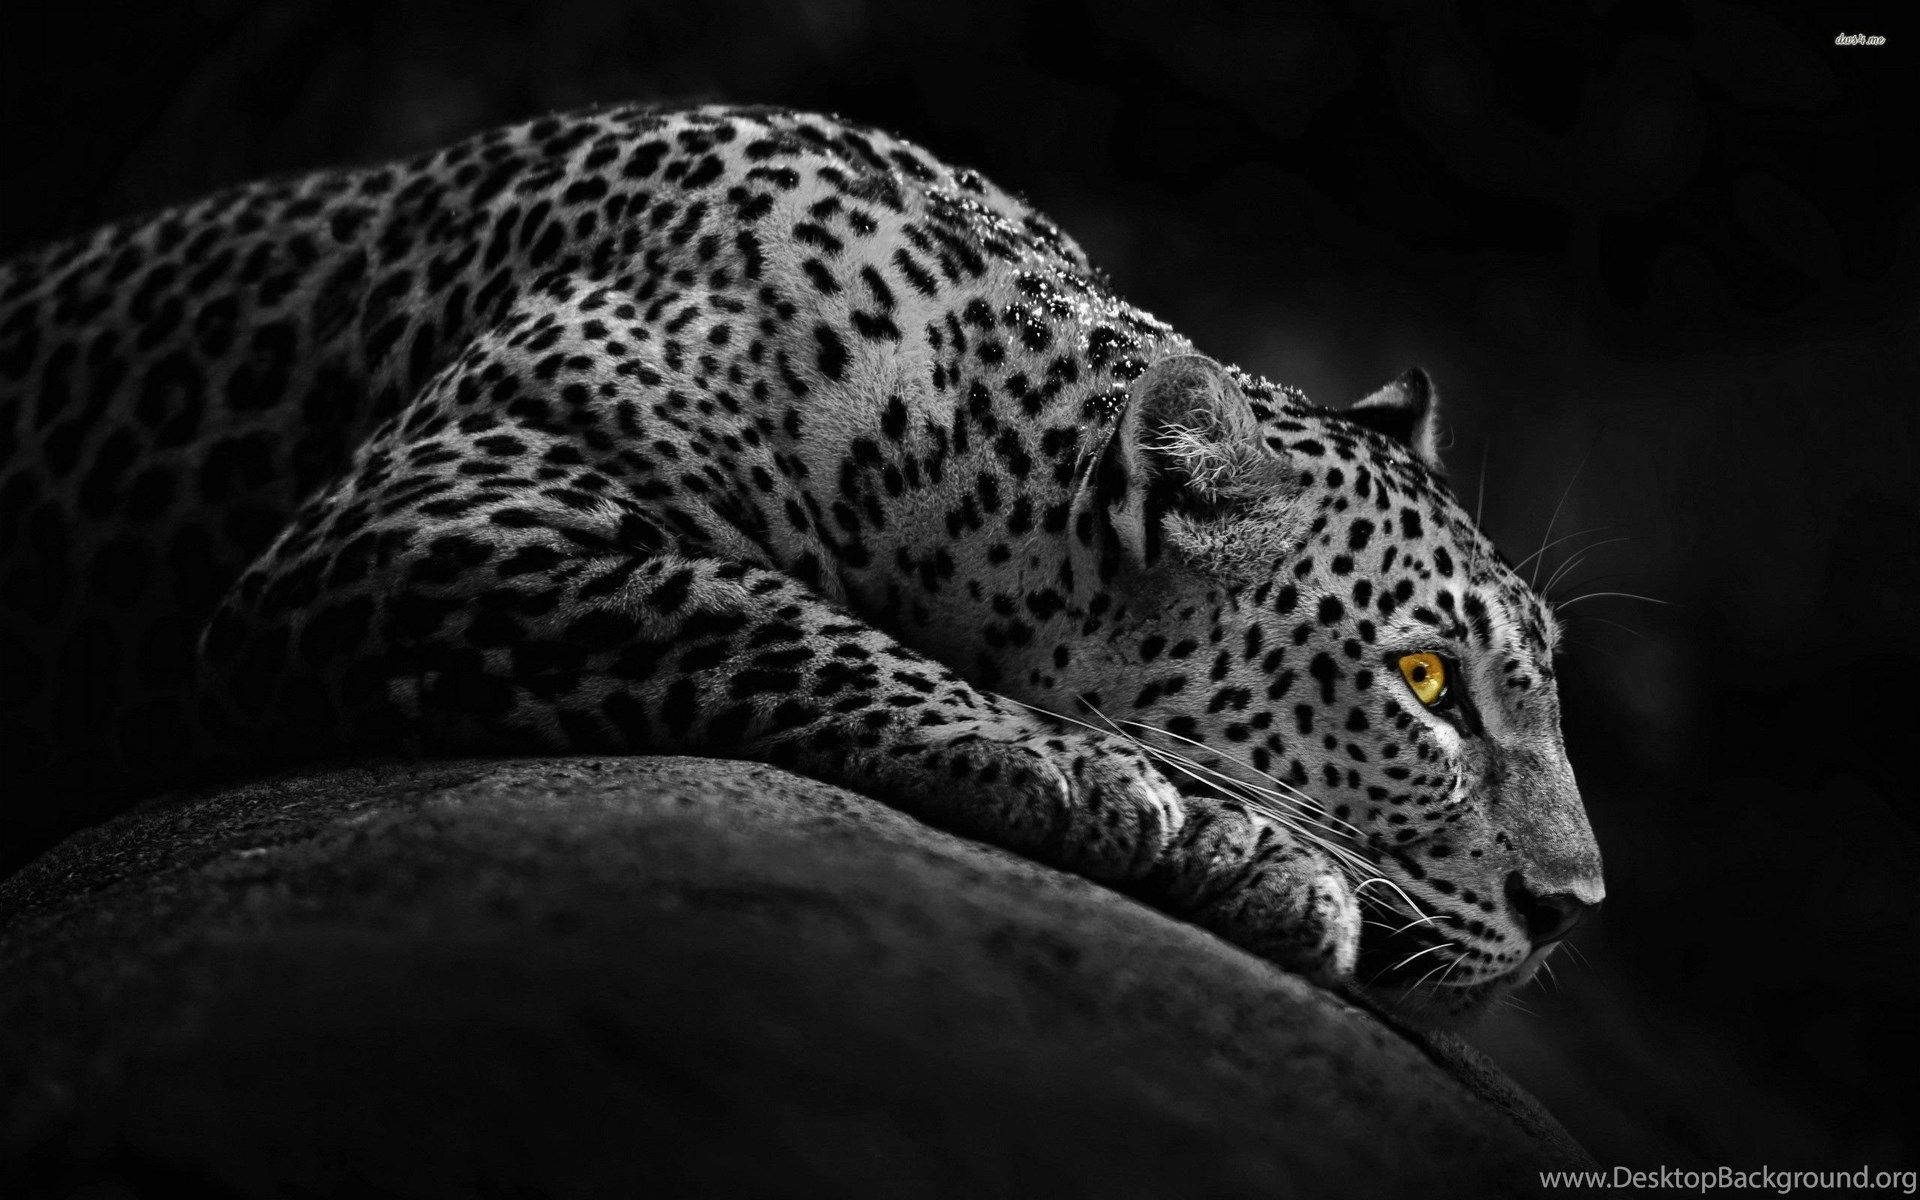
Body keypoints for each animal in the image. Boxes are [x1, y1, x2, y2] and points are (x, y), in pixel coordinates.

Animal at [0, 103, 1604, 1025]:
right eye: (1426, 683)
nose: (1574, 910)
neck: (948, 430)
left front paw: (1241, 851)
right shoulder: (430, 517)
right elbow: (753, 608)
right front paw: (1107, 785)